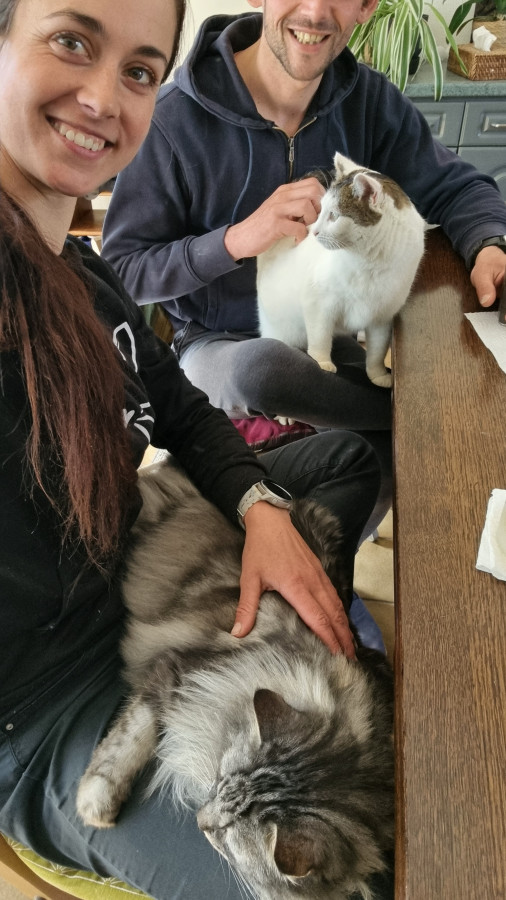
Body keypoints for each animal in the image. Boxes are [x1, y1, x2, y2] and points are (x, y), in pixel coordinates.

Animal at [76, 460, 394, 900]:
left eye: (227, 835)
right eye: (217, 783)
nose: (200, 820)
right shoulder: (176, 671)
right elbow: (128, 742)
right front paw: (96, 803)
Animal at [257, 151, 425, 391]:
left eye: (334, 216)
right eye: (320, 211)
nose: (314, 232)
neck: (369, 261)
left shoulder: (382, 318)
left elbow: (377, 352)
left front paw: (378, 375)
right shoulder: (319, 305)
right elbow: (320, 338)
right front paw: (321, 362)